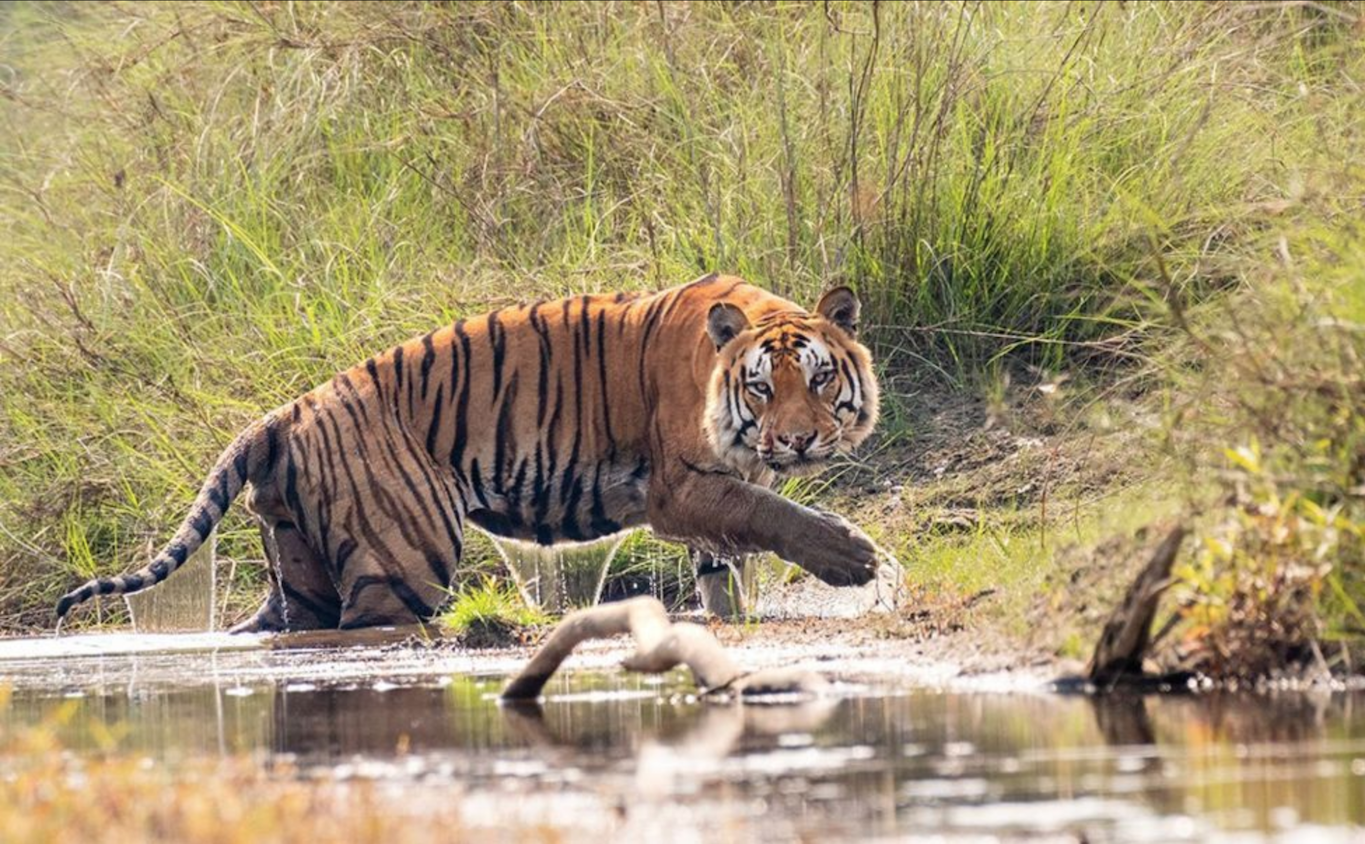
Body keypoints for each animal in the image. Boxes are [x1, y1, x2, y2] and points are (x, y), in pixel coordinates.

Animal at [53, 273, 879, 628]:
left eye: (817, 377)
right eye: (761, 388)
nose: (795, 438)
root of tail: (284, 412)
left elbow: (727, 561)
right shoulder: (681, 489)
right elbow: (770, 515)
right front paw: (854, 561)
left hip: (300, 567)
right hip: (401, 558)